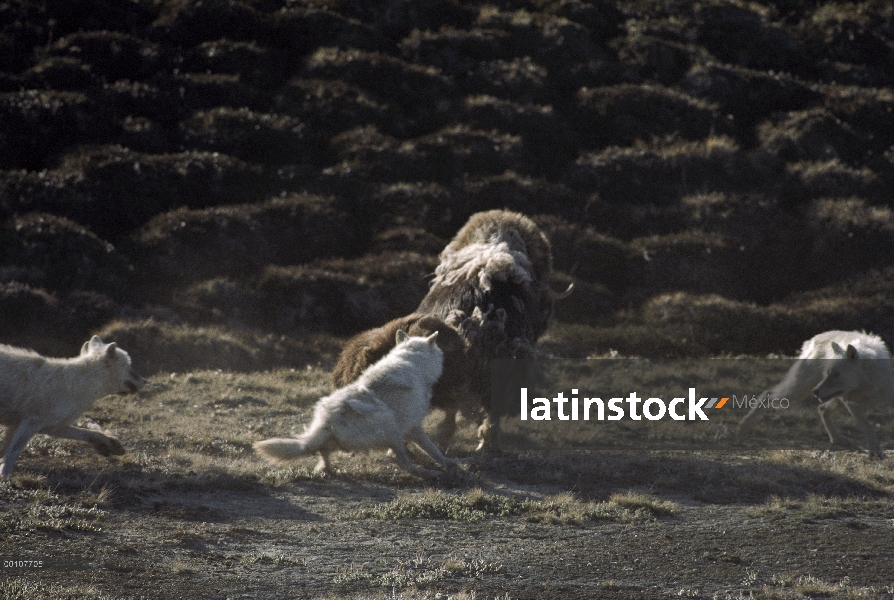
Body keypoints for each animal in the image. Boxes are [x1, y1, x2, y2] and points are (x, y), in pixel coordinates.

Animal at [0, 336, 147, 476]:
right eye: (129, 367)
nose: (145, 381)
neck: (75, 385)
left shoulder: (48, 426)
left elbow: (89, 433)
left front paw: (112, 445)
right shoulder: (32, 423)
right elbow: (12, 453)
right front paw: (6, 477)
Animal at [254, 330, 458, 476]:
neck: (411, 358)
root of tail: (327, 421)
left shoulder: (408, 428)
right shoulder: (414, 427)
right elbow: (433, 449)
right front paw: (448, 464)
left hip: (336, 438)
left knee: (322, 452)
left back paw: (325, 469)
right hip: (389, 425)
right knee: (405, 464)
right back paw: (428, 473)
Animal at [740, 330, 894, 458]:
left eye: (836, 374)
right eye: (828, 373)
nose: (815, 391)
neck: (867, 384)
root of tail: (814, 338)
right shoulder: (850, 402)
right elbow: (867, 425)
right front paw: (875, 451)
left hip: (832, 398)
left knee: (822, 409)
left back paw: (837, 438)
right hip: (798, 390)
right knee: (767, 394)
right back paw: (743, 426)